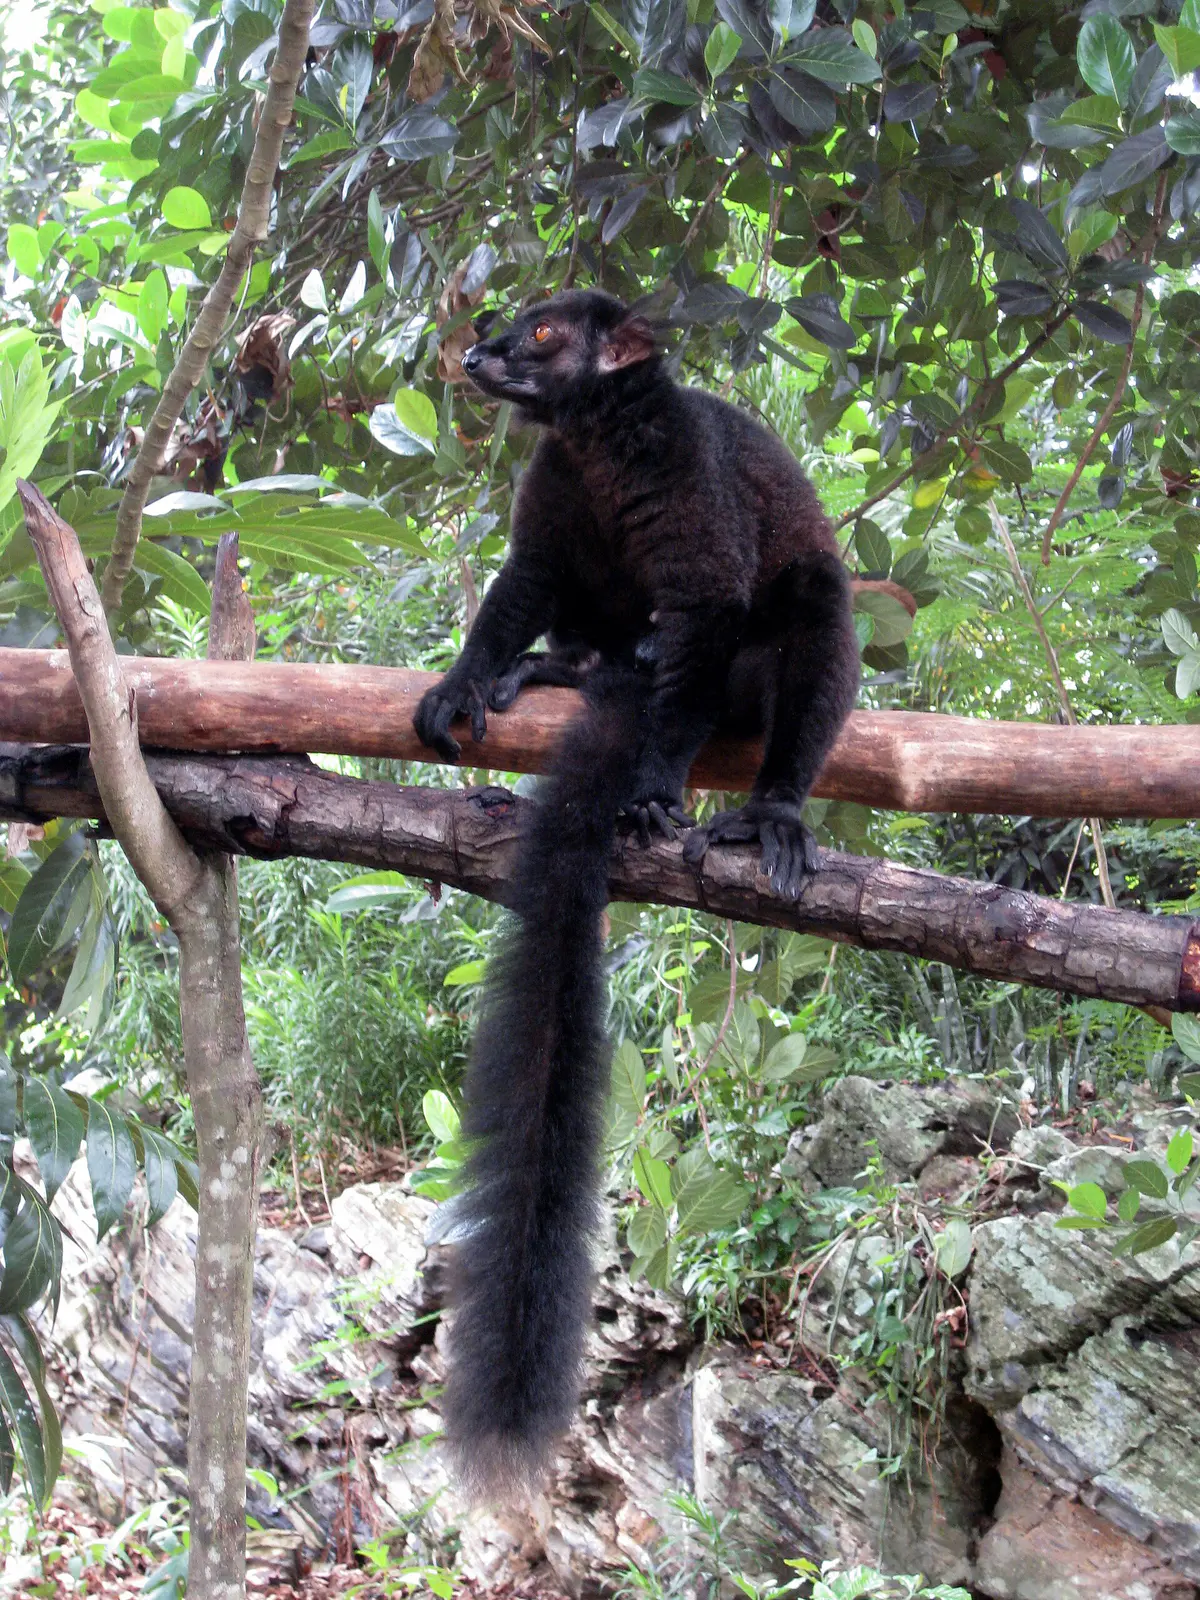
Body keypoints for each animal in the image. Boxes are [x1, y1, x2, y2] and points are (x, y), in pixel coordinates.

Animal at [412, 289, 860, 1496]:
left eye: (542, 336)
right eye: (505, 326)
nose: (478, 354)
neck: (597, 439)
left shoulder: (686, 468)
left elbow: (709, 605)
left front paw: (656, 782)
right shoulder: (553, 480)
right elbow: (526, 576)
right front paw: (470, 675)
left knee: (800, 611)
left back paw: (769, 803)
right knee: (600, 619)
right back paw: (568, 670)